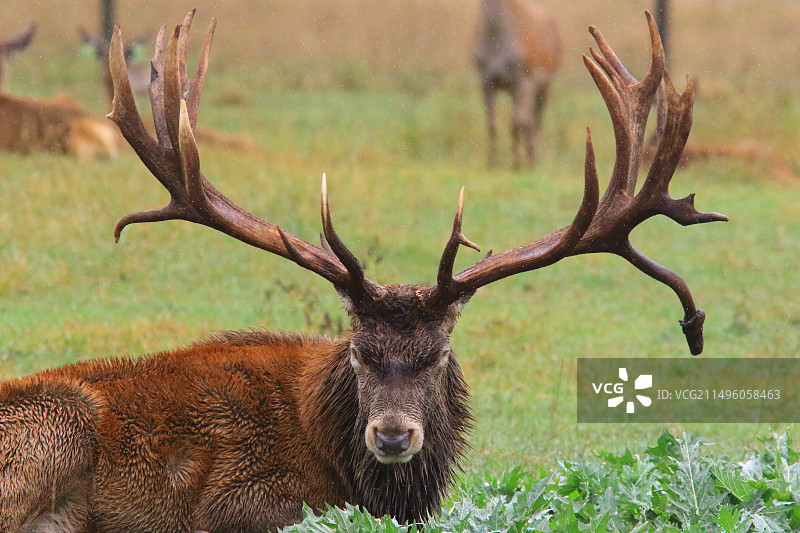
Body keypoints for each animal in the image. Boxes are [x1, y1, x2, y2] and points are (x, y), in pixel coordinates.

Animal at [474, 0, 561, 169]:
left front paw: (516, 164)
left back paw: (532, 159)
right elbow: (492, 125)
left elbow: (516, 123)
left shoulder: (524, 77)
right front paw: (491, 164)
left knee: (535, 119)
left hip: (546, 81)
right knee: (528, 118)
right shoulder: (485, 78)